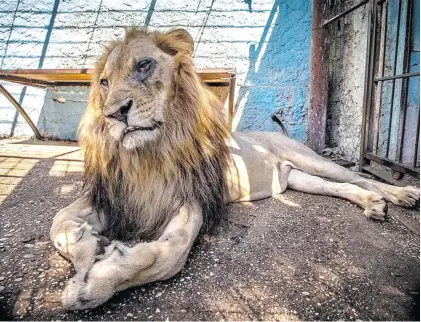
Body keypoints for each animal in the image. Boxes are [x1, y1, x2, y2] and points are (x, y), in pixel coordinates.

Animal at [50, 27, 420, 310]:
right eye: (104, 83)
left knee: (359, 177)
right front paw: (89, 250)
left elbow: (170, 255)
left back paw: (402, 195)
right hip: (298, 180)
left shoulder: (190, 199)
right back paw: (374, 205)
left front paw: (97, 281)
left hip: (310, 159)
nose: (114, 114)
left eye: (143, 65)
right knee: (343, 187)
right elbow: (59, 224)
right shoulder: (114, 196)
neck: (148, 154)